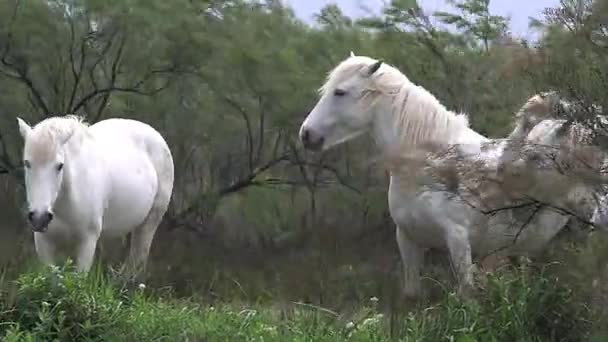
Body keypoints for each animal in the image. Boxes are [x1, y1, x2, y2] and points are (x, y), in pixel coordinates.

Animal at [16, 115, 173, 276]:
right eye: (27, 163)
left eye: (59, 166)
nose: (39, 218)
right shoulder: (44, 243)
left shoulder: (87, 242)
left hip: (149, 223)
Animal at [296, 54, 600, 300]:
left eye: (340, 92)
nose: (307, 135)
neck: (428, 164)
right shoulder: (407, 239)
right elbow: (412, 295)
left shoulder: (457, 239)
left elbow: (467, 296)